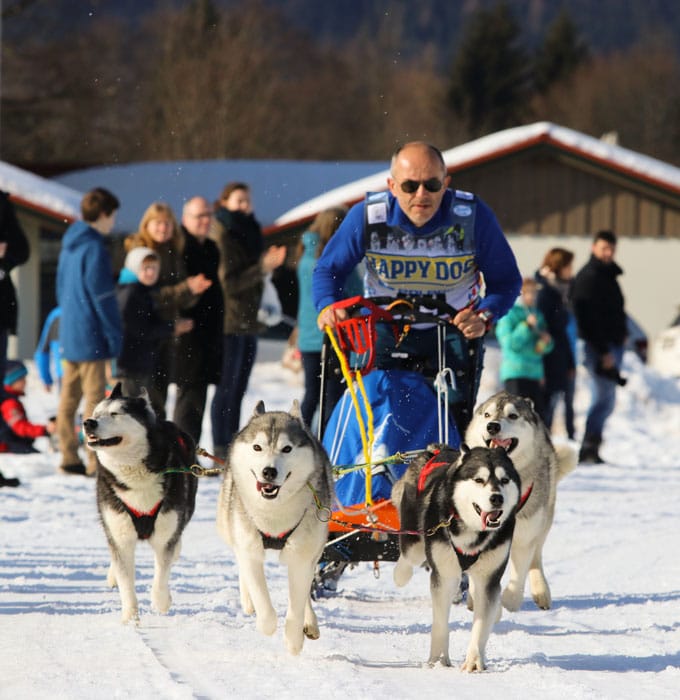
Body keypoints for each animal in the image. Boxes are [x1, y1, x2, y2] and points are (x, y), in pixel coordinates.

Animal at [83, 382, 197, 624]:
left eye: (115, 413)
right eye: (96, 413)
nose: (88, 422)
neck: (135, 476)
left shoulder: (165, 535)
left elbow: (161, 573)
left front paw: (161, 601)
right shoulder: (119, 533)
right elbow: (125, 579)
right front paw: (130, 616)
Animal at [216, 402, 334, 652]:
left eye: (287, 449)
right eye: (257, 447)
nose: (269, 471)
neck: (274, 513)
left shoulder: (301, 556)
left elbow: (297, 602)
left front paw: (293, 639)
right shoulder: (249, 547)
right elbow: (262, 598)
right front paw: (266, 623)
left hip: (315, 546)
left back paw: (310, 622)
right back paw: (248, 601)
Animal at [390, 446, 516, 668]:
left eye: (505, 480)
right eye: (479, 480)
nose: (497, 498)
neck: (473, 532)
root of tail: (435, 449)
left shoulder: (489, 579)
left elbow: (482, 624)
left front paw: (474, 661)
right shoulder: (444, 576)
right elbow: (440, 623)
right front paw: (439, 659)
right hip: (414, 541)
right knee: (409, 558)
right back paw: (400, 575)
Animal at [468, 394, 580, 612]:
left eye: (512, 415)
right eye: (487, 415)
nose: (492, 426)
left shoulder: (525, 536)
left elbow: (518, 576)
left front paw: (508, 602)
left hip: (543, 522)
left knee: (536, 557)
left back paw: (541, 591)